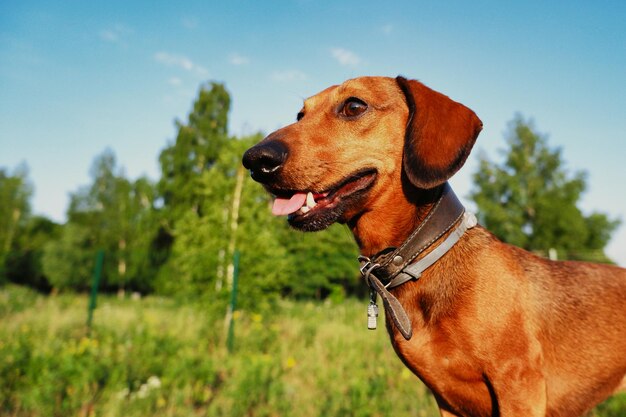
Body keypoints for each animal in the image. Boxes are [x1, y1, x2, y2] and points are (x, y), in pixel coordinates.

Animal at [240, 76, 624, 414]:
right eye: (299, 115)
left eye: (353, 106)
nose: (255, 159)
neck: (424, 259)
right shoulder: (447, 401)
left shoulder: (519, 388)